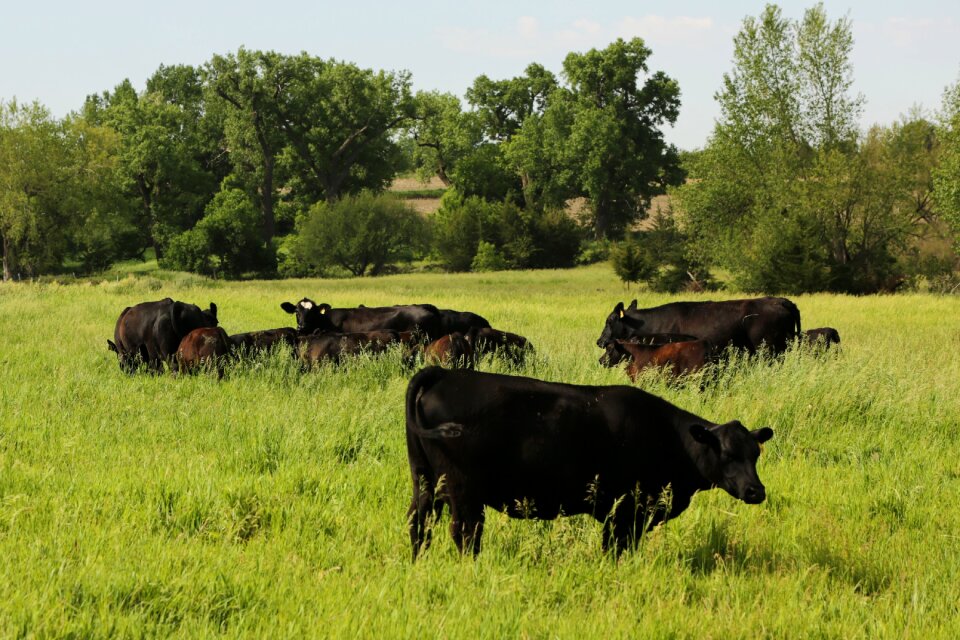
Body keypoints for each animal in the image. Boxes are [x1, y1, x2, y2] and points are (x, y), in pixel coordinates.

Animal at [404, 368, 772, 556]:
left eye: (755, 453)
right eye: (727, 453)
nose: (756, 491)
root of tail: (445, 373)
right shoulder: (626, 510)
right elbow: (617, 549)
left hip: (425, 480)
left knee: (418, 523)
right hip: (463, 490)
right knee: (465, 533)